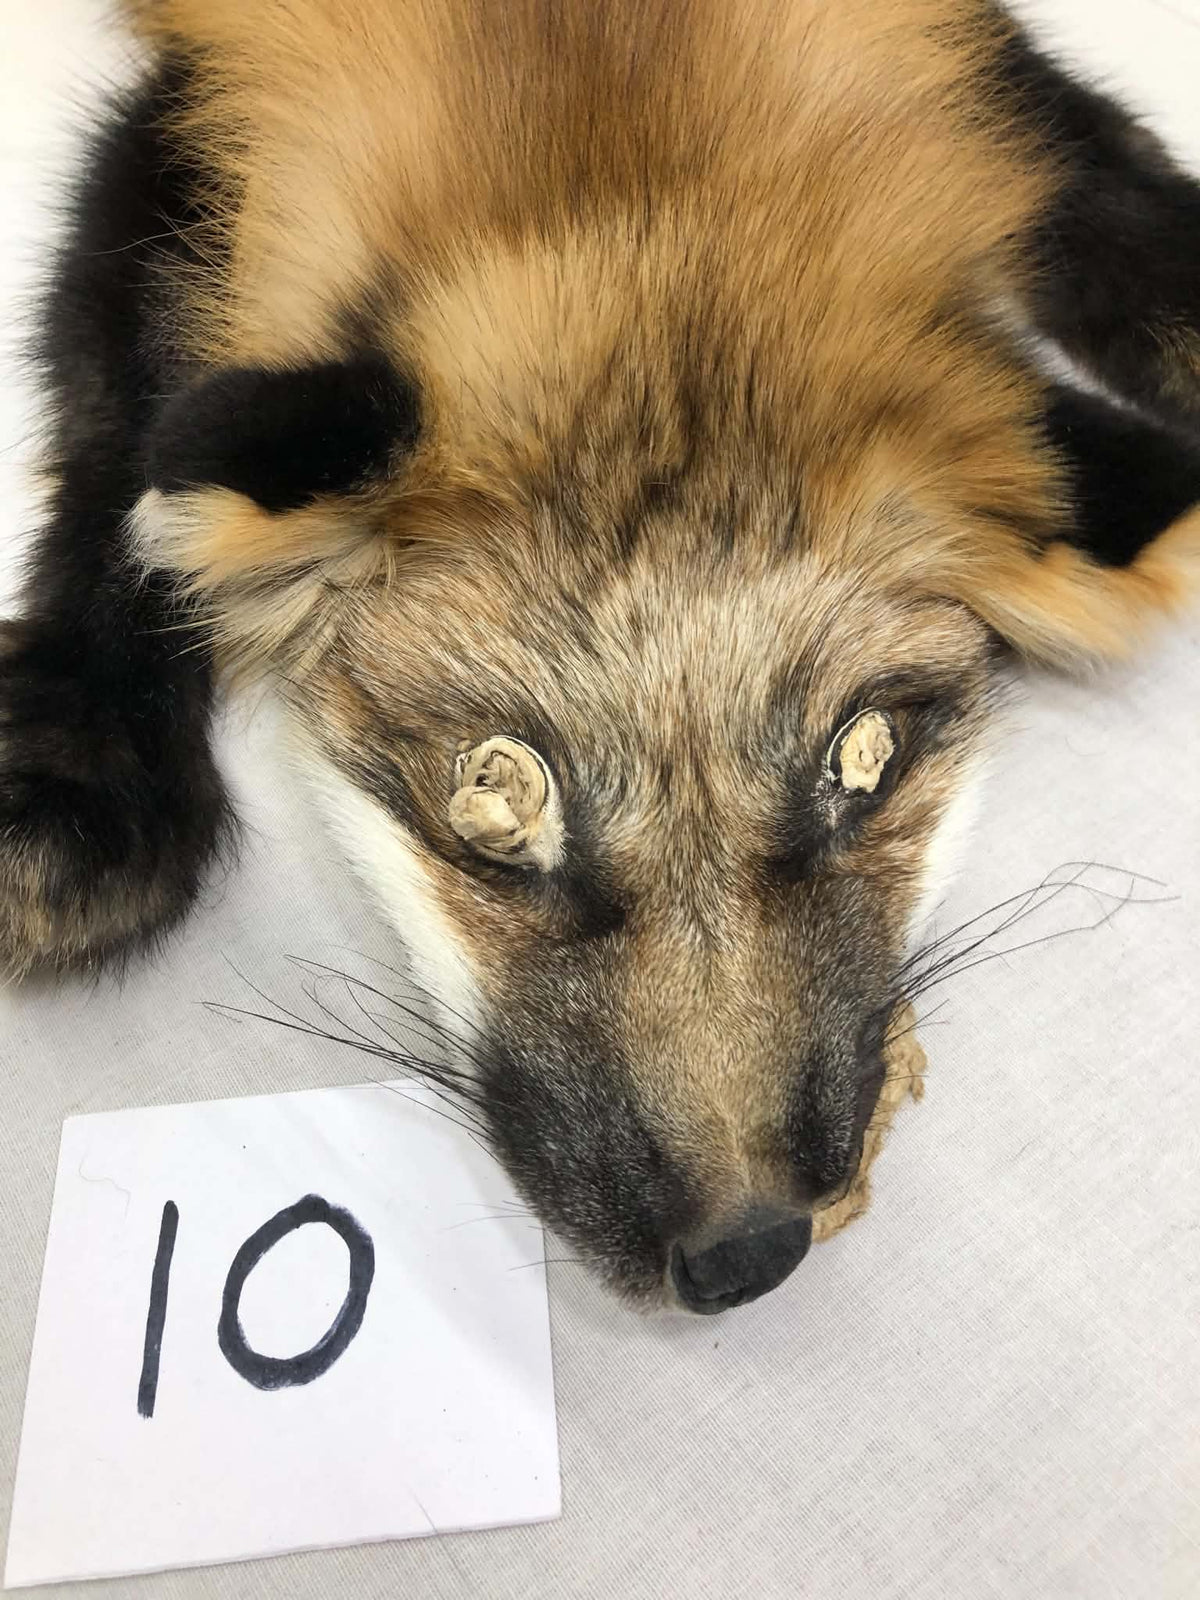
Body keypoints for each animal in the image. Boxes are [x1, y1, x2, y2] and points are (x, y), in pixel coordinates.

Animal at [2, 0, 1198, 1313]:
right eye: (493, 798)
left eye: (867, 760)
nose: (749, 1252)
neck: (616, 99)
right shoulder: (183, 118)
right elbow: (121, 442)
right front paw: (79, 761)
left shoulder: (963, 56)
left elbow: (1109, 170)